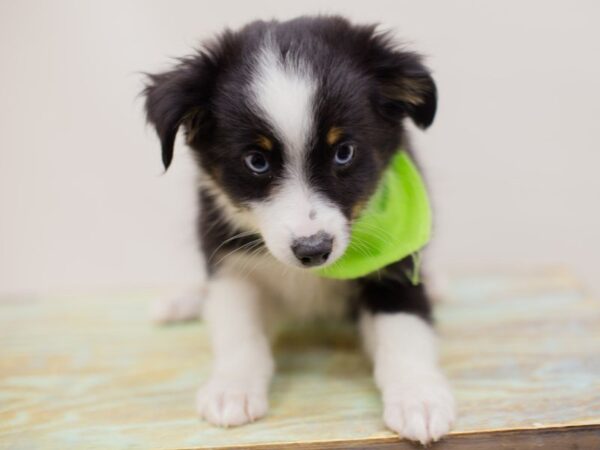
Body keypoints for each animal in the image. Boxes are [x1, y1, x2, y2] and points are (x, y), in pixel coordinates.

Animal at [144, 15, 454, 444]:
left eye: (344, 152)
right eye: (257, 161)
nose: (313, 250)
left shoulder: (396, 263)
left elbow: (405, 329)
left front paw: (418, 397)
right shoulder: (227, 257)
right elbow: (237, 327)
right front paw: (232, 388)